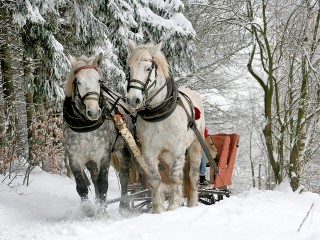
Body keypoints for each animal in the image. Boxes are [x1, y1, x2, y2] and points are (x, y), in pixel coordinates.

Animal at [125, 39, 205, 214]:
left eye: (148, 68)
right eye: (129, 68)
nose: (133, 99)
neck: (159, 112)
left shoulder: (178, 149)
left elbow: (175, 177)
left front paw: (173, 206)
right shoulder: (149, 152)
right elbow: (156, 179)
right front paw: (157, 209)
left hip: (195, 145)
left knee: (192, 176)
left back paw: (192, 203)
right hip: (166, 155)